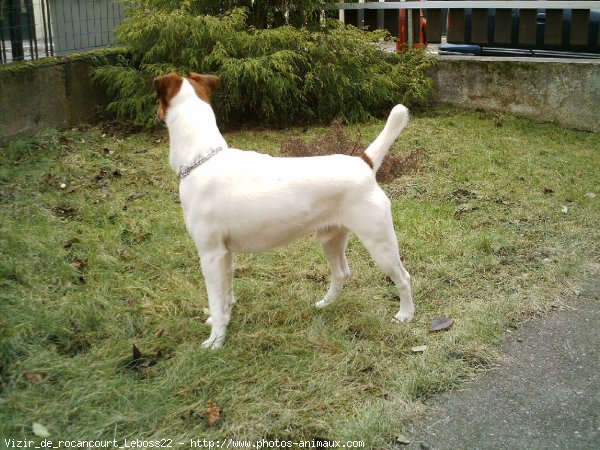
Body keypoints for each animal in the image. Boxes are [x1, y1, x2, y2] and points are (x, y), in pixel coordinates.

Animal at [152, 73, 414, 348]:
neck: (202, 158)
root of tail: (364, 163)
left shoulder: (210, 253)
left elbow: (215, 298)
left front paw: (216, 340)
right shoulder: (224, 253)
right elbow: (225, 295)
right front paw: (221, 319)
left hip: (379, 242)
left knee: (403, 278)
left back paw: (405, 315)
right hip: (331, 238)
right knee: (341, 272)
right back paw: (325, 304)